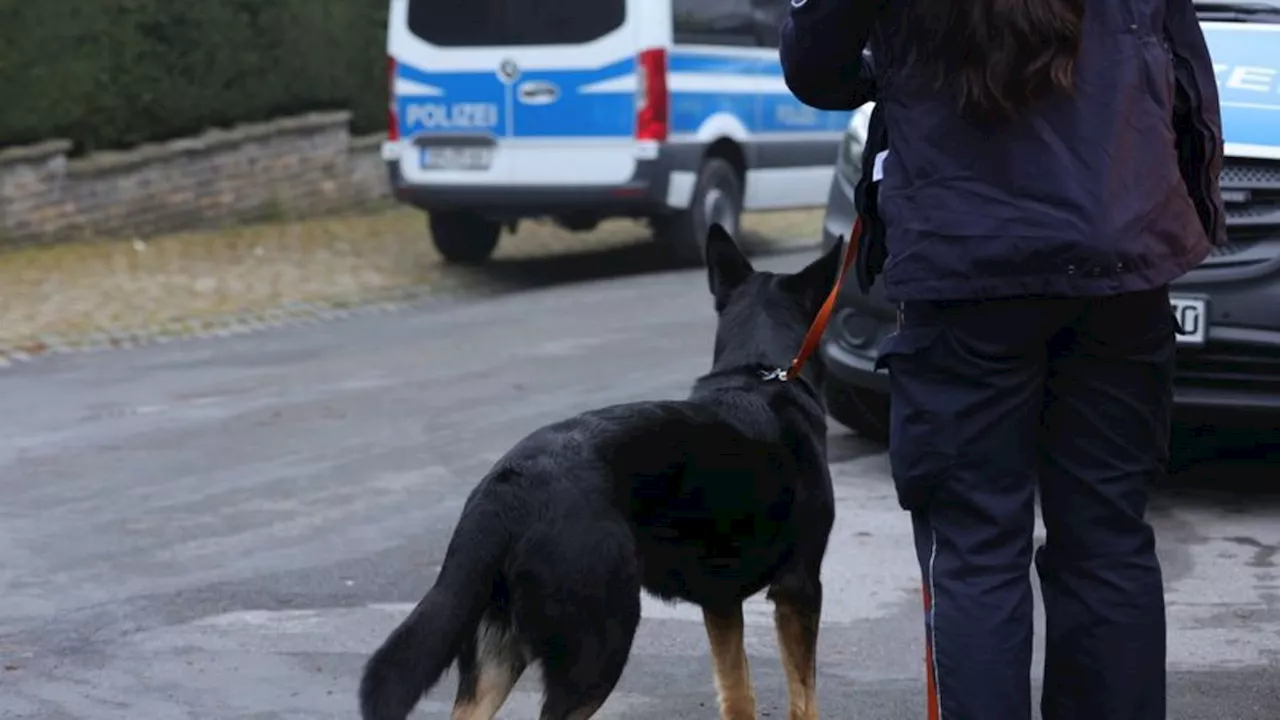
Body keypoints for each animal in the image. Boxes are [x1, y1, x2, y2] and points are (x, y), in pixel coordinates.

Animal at [358, 224, 839, 717]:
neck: (757, 372)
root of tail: (505, 490)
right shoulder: (799, 588)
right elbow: (804, 697)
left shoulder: (720, 602)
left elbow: (738, 690)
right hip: (600, 646)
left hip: (498, 656)